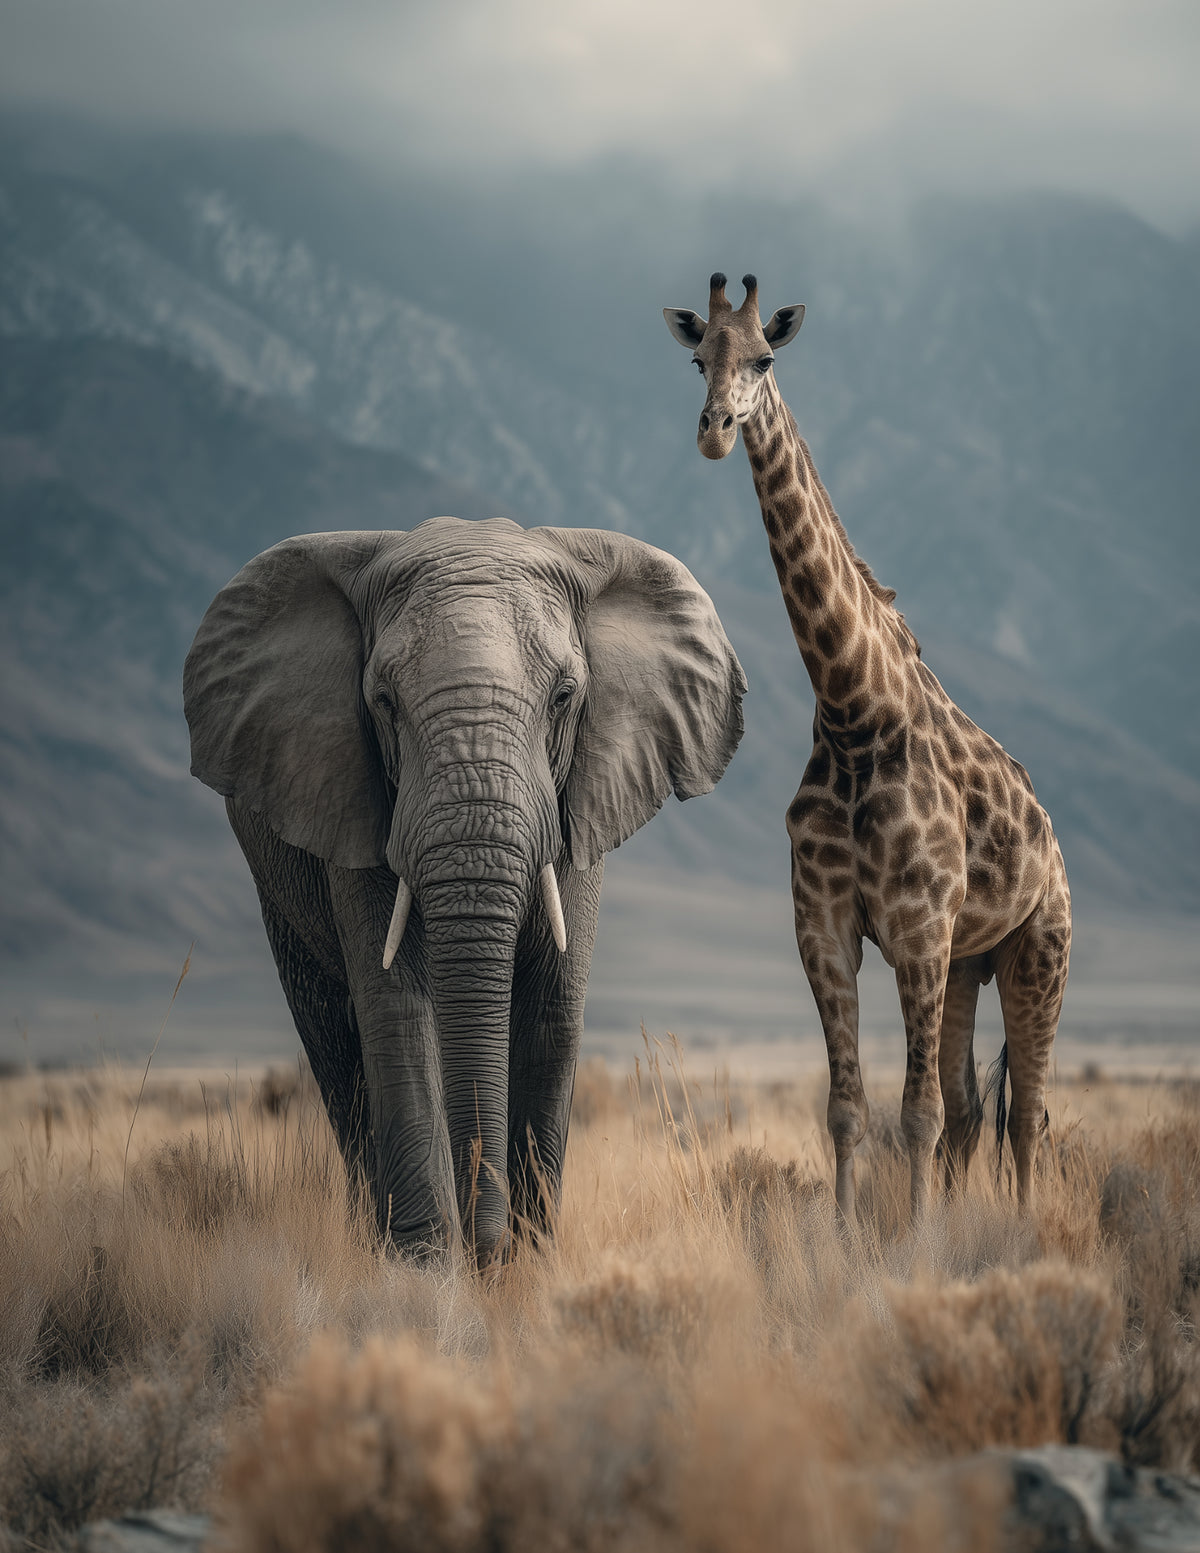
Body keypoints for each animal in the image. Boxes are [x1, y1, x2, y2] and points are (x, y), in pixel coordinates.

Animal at [184, 516, 745, 1265]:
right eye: (383, 702)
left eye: (564, 697)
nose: (488, 1254)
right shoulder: (357, 795)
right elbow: (397, 1009)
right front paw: (428, 1273)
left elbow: (551, 1008)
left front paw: (525, 1267)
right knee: (333, 1041)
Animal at [664, 272, 1071, 1222]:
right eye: (700, 359)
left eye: (765, 359)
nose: (714, 429)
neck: (853, 710)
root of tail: (1053, 838)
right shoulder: (825, 921)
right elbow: (849, 1107)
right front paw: (854, 1236)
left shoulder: (917, 927)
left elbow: (915, 1112)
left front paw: (915, 1242)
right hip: (969, 962)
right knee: (973, 1111)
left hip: (1040, 948)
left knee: (1025, 1111)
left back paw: (1021, 1228)